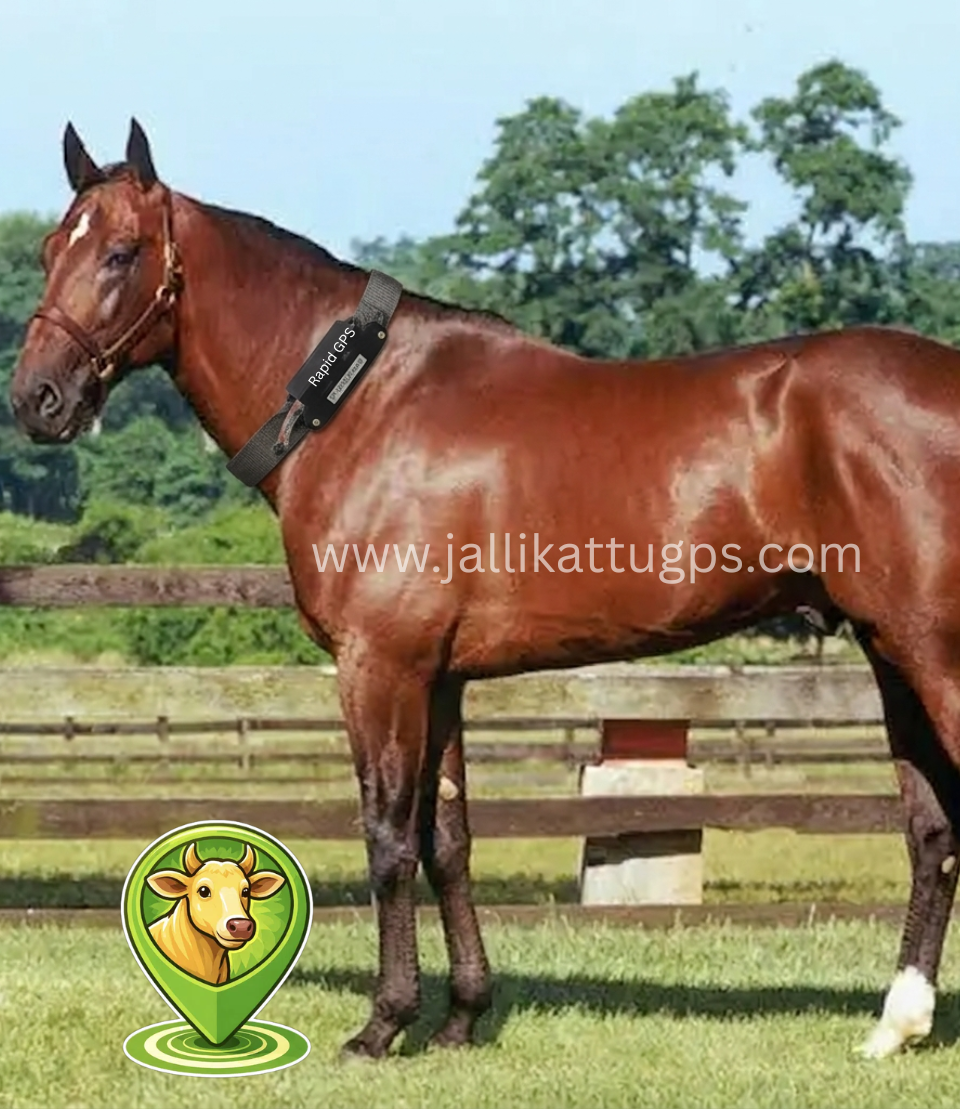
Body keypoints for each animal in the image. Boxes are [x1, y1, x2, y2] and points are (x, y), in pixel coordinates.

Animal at [11, 118, 960, 1061]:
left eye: (122, 252)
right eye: (52, 248)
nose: (36, 398)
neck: (364, 404)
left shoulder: (380, 668)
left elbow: (390, 838)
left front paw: (384, 1022)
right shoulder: (441, 680)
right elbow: (450, 840)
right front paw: (463, 1015)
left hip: (931, 655)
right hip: (890, 652)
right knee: (931, 829)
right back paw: (896, 1023)